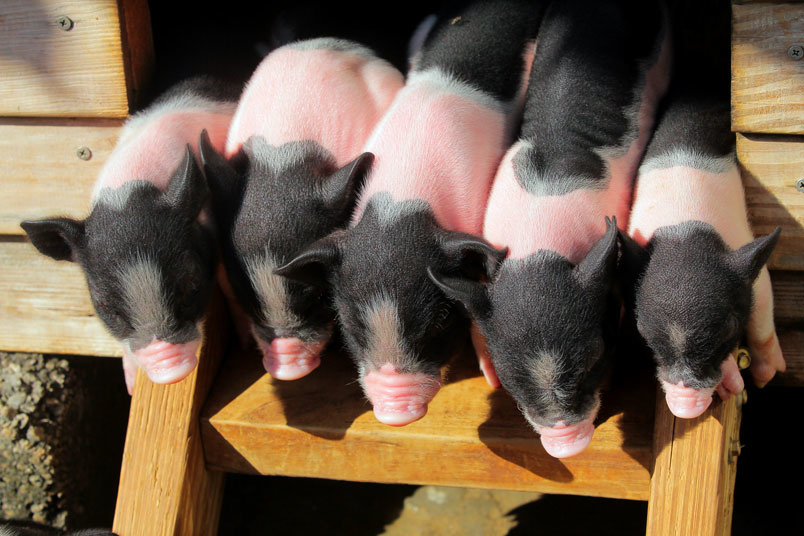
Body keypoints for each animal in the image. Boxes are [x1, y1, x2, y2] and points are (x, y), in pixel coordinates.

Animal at [620, 0, 784, 419]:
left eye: (725, 331)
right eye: (646, 336)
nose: (685, 408)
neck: (686, 230)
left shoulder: (750, 262)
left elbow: (763, 317)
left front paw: (767, 379)